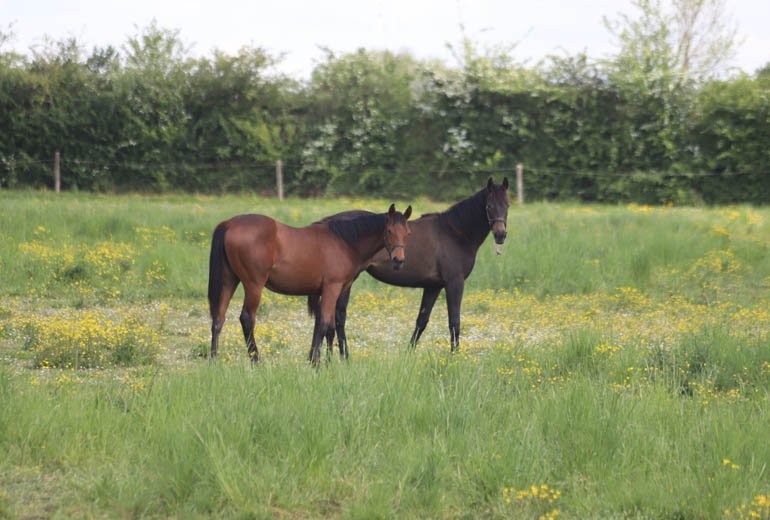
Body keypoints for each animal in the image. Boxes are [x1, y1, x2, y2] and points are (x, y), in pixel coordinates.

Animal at [208, 203, 412, 364]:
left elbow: (327, 326)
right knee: (247, 319)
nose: (399, 261)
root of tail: (229, 224)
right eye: (389, 231)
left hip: (229, 280)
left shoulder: (327, 291)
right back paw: (256, 360)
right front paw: (317, 364)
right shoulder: (332, 288)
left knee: (218, 318)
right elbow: (325, 324)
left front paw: (322, 360)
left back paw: (214, 360)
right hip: (253, 285)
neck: (344, 241)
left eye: (408, 233)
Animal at [322, 178, 509, 356]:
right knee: (339, 317)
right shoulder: (454, 283)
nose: (500, 235)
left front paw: (408, 354)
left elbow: (422, 321)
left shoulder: (433, 286)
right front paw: (454, 356)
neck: (453, 232)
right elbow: (454, 321)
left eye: (507, 205)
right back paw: (344, 356)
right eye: (489, 205)